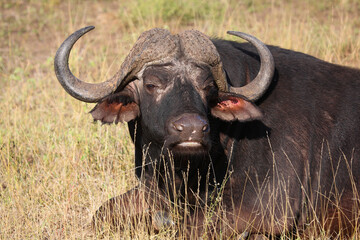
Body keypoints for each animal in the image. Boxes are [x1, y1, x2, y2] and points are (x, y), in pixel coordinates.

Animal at [54, 26, 358, 238]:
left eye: (208, 87)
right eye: (151, 84)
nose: (191, 129)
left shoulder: (267, 209)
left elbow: (187, 228)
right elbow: (101, 214)